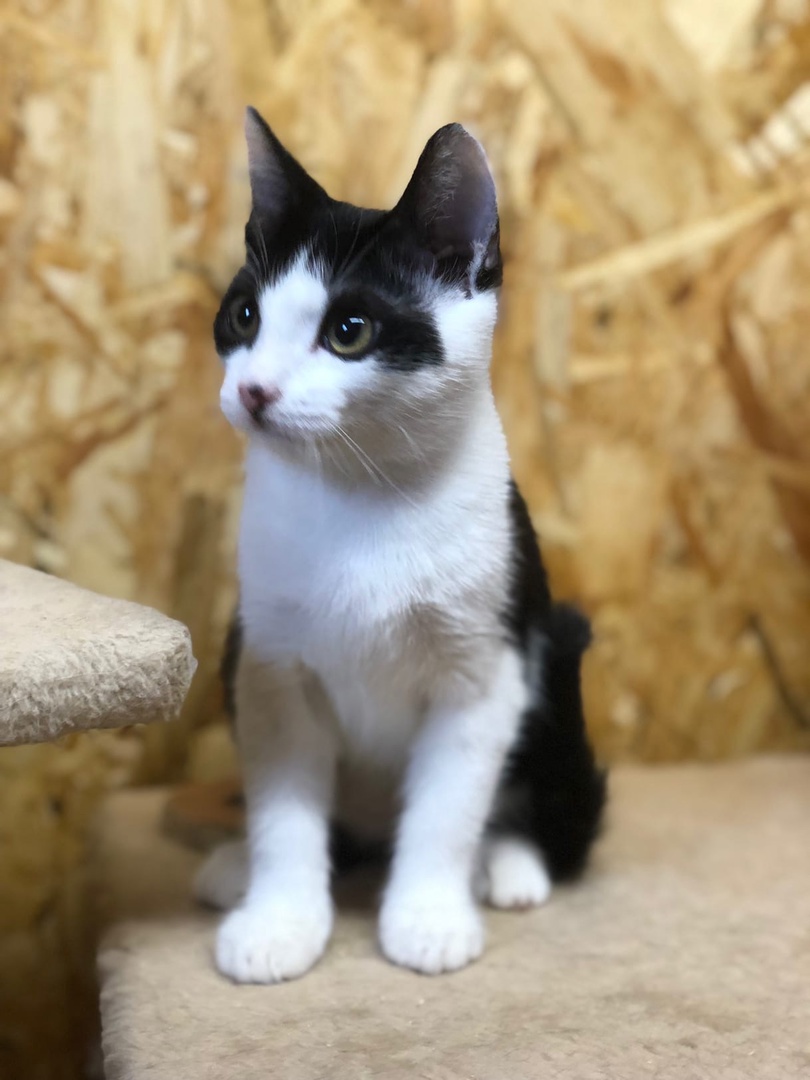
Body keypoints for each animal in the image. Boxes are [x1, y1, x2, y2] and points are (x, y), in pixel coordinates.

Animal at [195, 107, 606, 982]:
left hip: (556, 650)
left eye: (349, 331)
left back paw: (509, 864)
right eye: (245, 317)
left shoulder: (482, 671)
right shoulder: (272, 661)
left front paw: (427, 915)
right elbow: (284, 806)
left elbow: (447, 807)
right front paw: (279, 919)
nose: (254, 390)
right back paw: (238, 867)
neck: (362, 493)